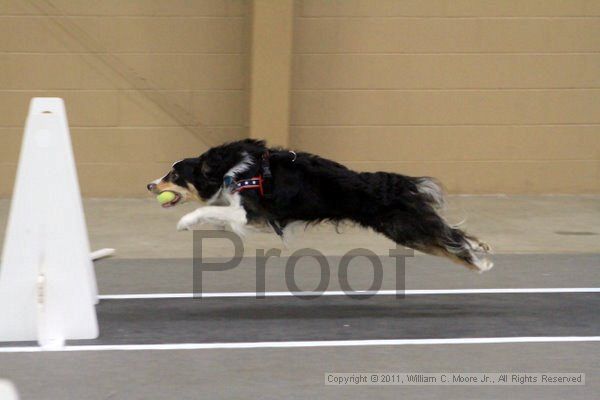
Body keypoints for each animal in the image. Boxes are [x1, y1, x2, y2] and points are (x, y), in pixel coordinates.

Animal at [146, 138, 492, 272]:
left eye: (174, 175)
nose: (150, 185)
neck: (229, 171)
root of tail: (393, 182)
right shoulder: (254, 221)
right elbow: (216, 215)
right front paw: (190, 223)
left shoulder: (251, 214)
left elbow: (208, 209)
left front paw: (184, 222)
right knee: (451, 232)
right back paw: (481, 247)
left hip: (404, 227)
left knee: (450, 241)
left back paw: (479, 263)